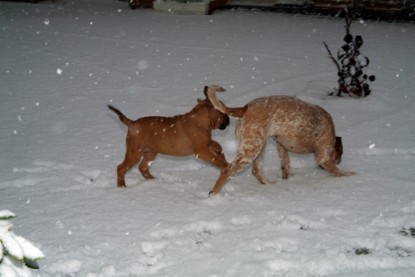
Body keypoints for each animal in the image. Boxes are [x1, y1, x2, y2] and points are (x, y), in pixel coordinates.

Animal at [206, 84, 356, 194]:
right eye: (340, 153)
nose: (339, 160)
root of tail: (244, 108)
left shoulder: (281, 146)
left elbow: (286, 165)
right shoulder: (323, 156)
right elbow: (337, 171)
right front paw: (349, 174)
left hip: (259, 146)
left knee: (256, 170)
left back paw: (269, 184)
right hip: (251, 149)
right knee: (227, 171)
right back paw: (214, 195)